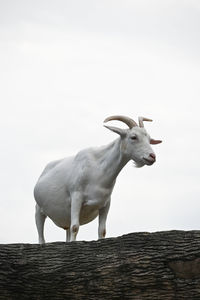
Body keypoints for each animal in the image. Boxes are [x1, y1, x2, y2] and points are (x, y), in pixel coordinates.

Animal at [34, 115, 161, 244]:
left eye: (149, 139)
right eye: (133, 137)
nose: (152, 156)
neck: (98, 170)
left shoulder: (105, 203)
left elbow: (102, 230)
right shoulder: (76, 197)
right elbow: (75, 227)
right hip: (38, 210)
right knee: (41, 235)